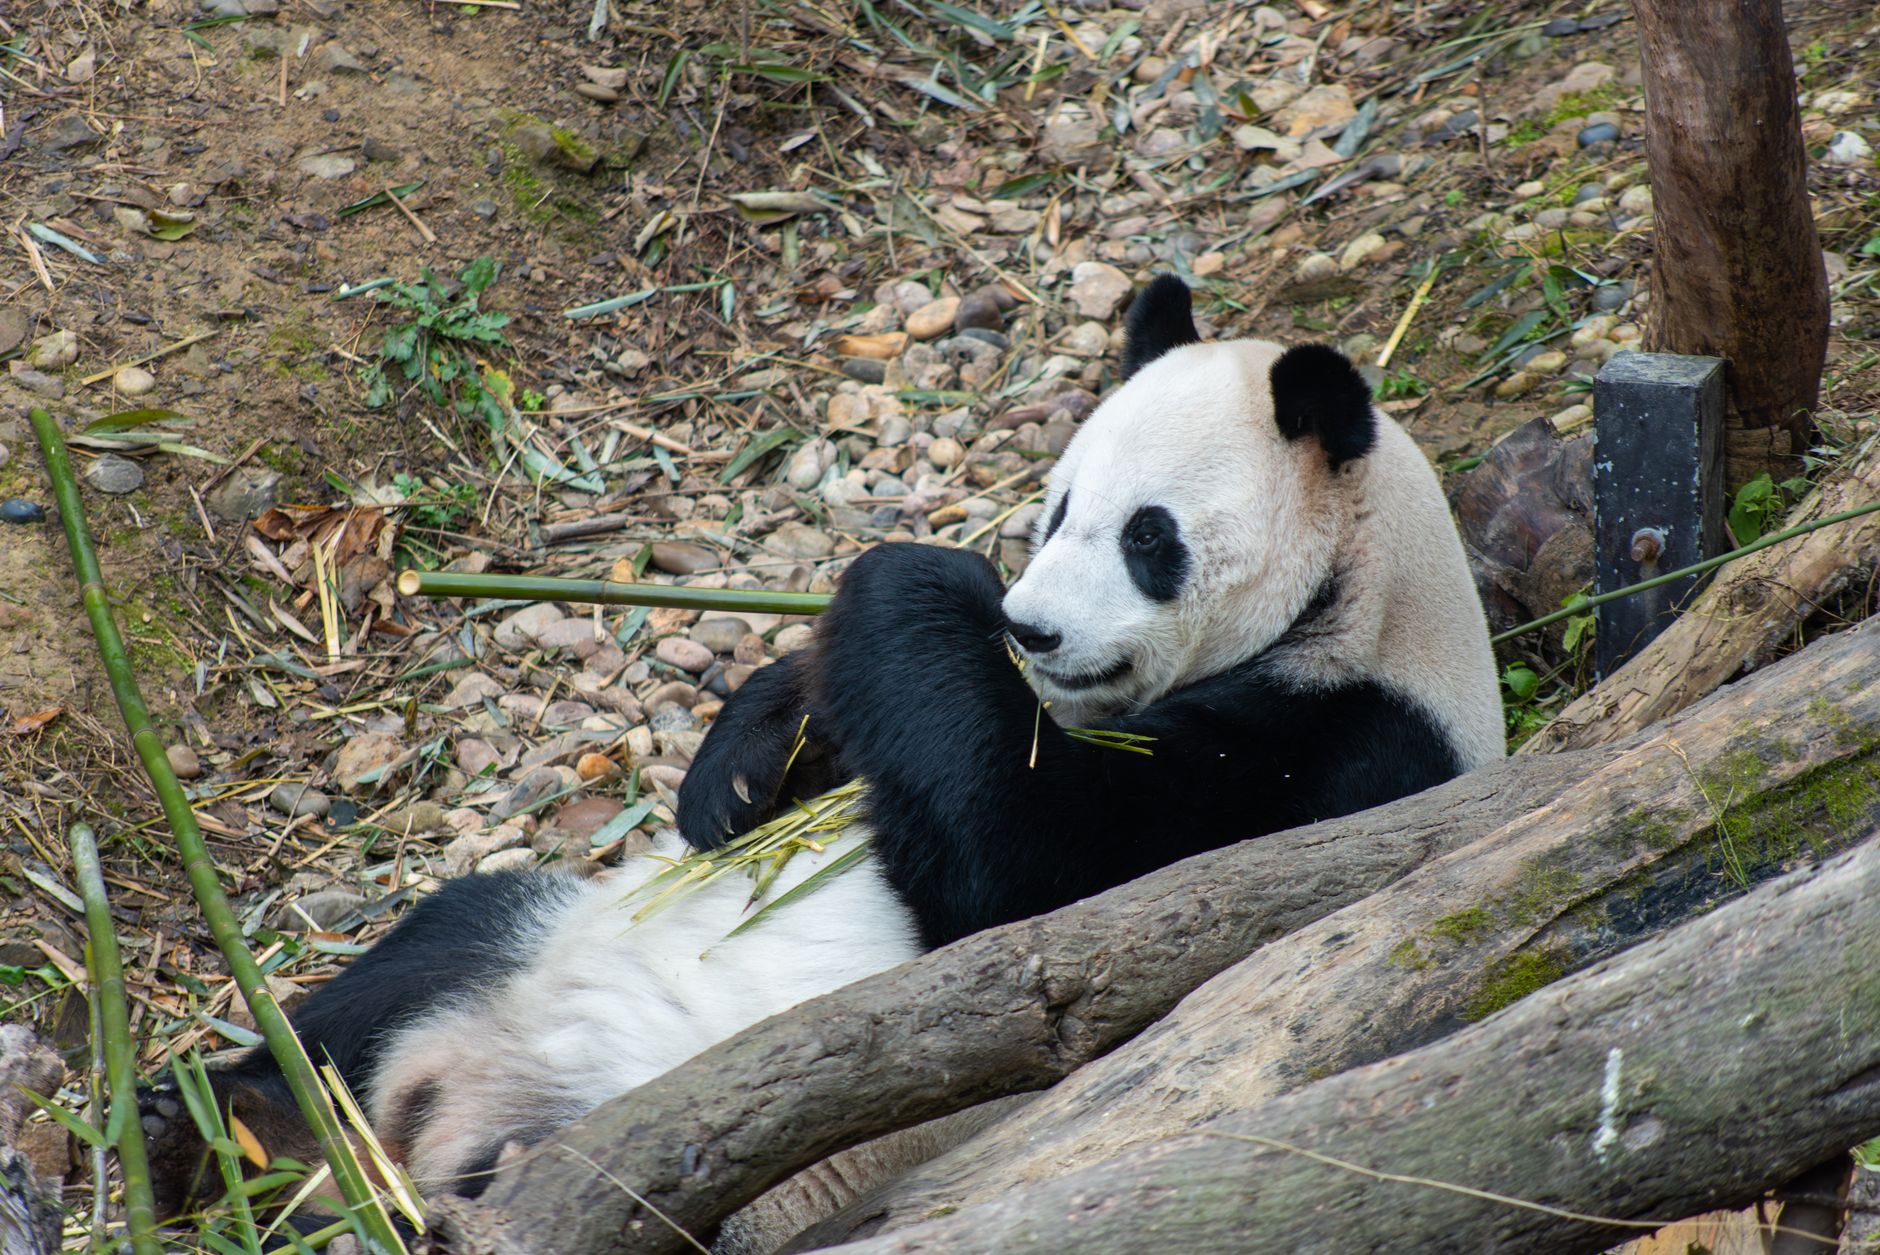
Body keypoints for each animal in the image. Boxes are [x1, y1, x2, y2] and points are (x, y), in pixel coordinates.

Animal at [144, 275, 1502, 1228]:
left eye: (1148, 537)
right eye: (1059, 506)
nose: (1030, 628)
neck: (1357, 601)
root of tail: (448, 1121)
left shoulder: (1338, 761)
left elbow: (1036, 870)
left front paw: (920, 584)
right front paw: (740, 766)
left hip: (769, 1182)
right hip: (522, 939)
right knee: (407, 964)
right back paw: (227, 1125)